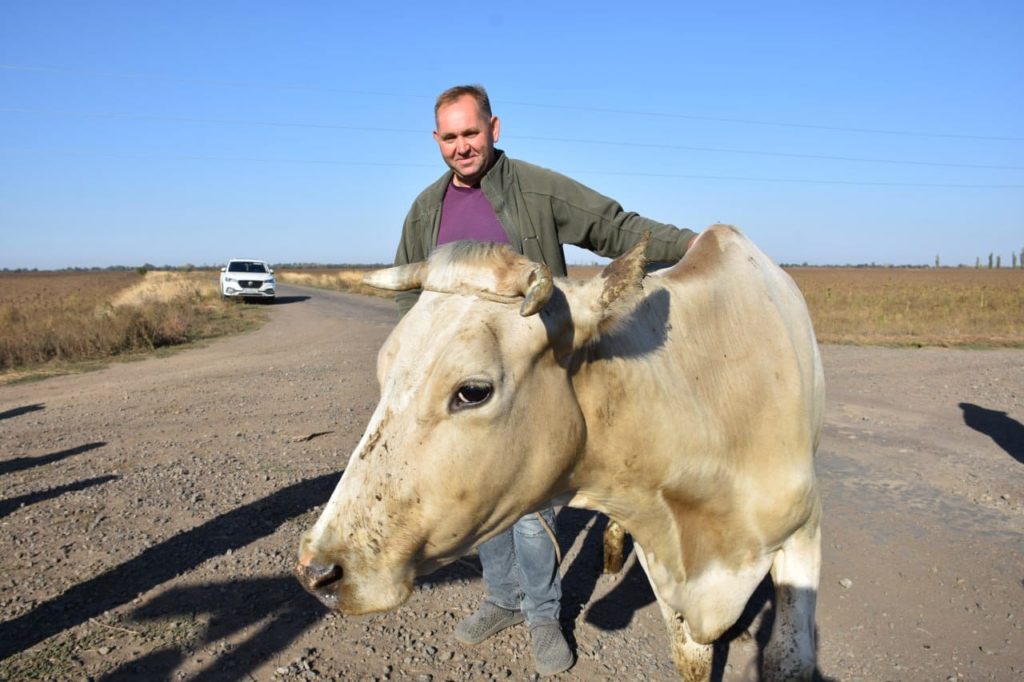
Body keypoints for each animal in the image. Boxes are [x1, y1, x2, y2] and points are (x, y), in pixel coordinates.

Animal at [296, 225, 823, 675]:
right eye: (384, 372)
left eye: (472, 391)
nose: (317, 569)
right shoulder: (666, 570)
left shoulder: (803, 534)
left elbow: (788, 660)